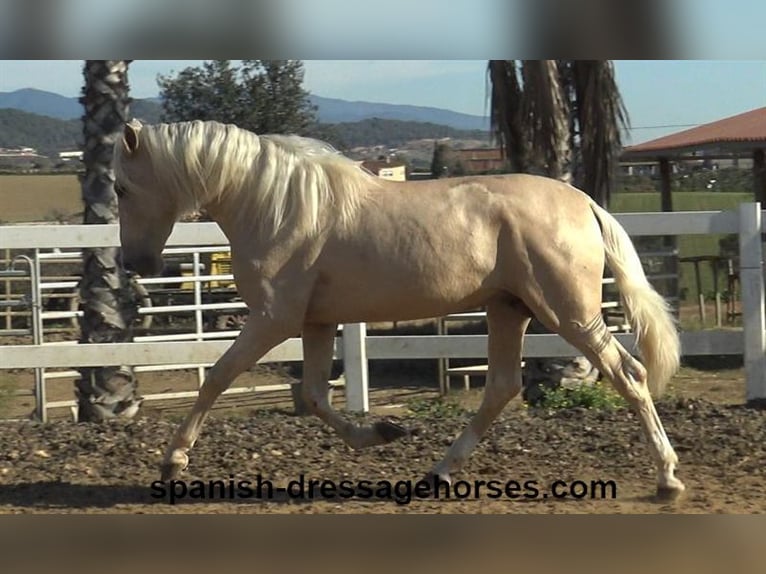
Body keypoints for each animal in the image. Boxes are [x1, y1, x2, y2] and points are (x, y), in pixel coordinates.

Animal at [114, 120, 688, 500]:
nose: (134, 262)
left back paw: (667, 477)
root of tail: (584, 202)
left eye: (121, 186)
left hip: (568, 312)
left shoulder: (274, 320)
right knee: (503, 387)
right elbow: (316, 396)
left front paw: (172, 462)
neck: (275, 206)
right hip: (510, 309)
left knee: (628, 374)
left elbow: (218, 376)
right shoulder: (315, 322)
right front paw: (381, 433)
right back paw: (438, 472)